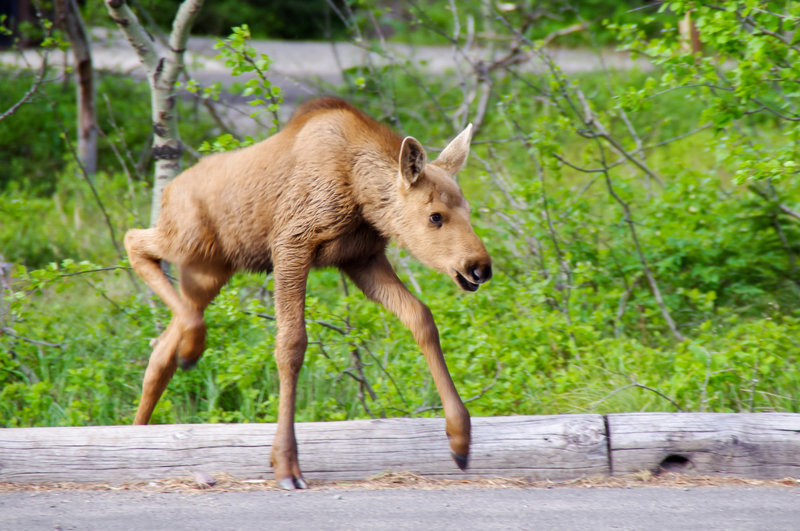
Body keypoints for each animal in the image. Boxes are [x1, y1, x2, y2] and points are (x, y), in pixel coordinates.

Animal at [125, 96, 490, 490]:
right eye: (435, 216)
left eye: (469, 210)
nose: (480, 267)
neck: (360, 196)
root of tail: (167, 191)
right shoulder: (292, 245)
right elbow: (291, 345)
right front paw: (286, 464)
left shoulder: (361, 259)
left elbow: (421, 316)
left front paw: (460, 437)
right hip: (189, 242)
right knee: (134, 242)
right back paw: (190, 349)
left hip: (209, 270)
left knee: (164, 342)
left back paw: (141, 425)